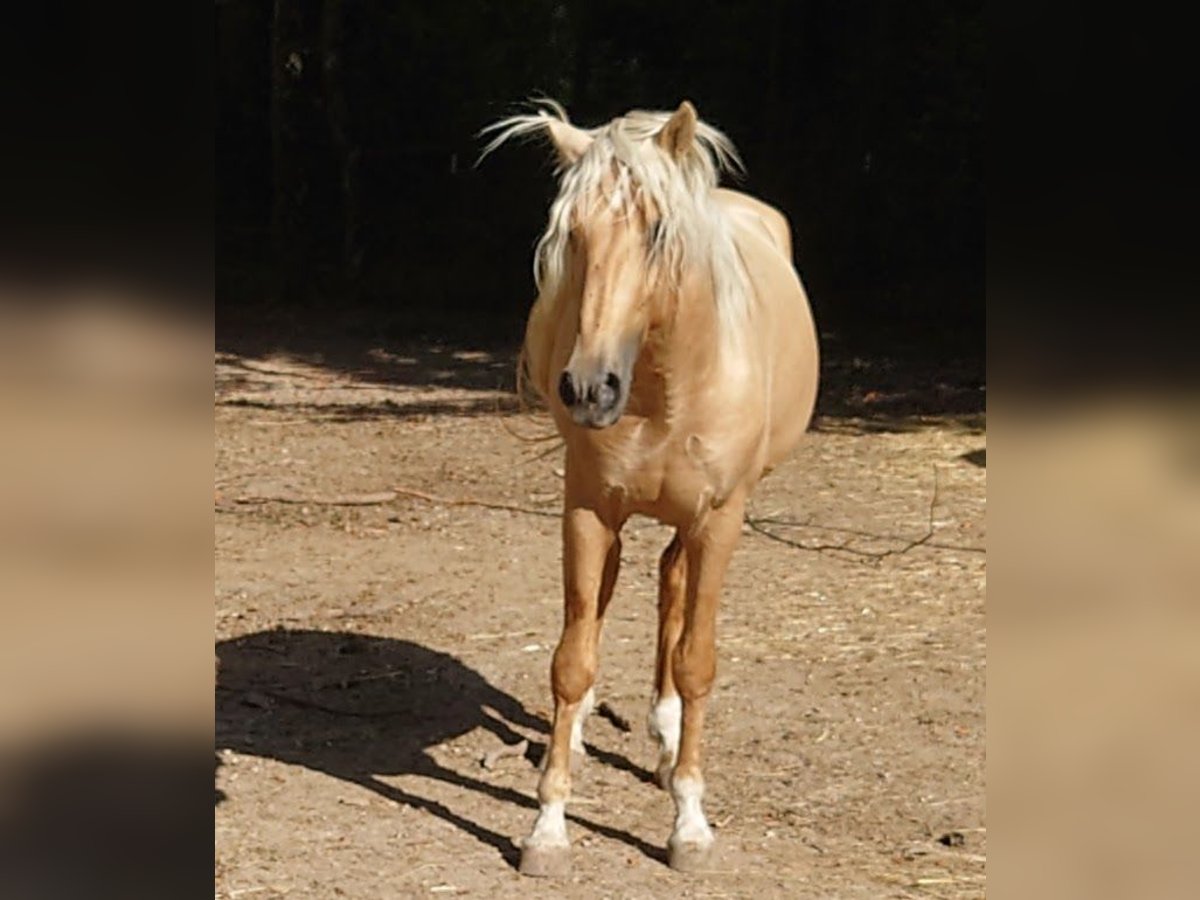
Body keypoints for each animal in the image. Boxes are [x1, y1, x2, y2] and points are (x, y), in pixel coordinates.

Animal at [482, 100, 820, 883]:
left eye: (658, 230)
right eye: (572, 234)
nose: (588, 387)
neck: (663, 388)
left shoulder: (719, 520)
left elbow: (696, 662)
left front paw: (689, 822)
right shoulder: (588, 509)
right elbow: (571, 659)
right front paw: (548, 827)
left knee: (672, 584)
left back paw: (666, 743)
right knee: (609, 599)